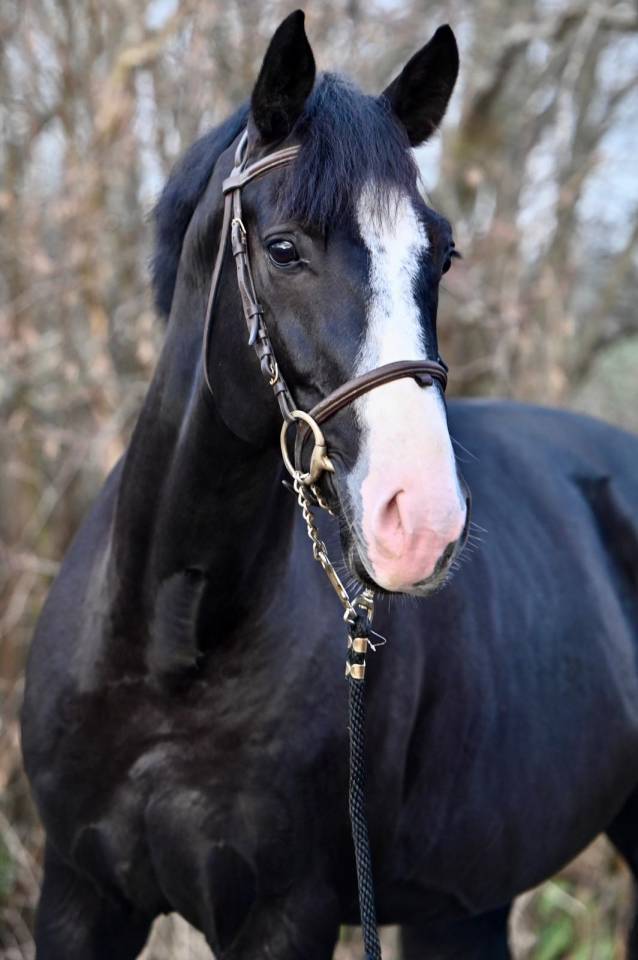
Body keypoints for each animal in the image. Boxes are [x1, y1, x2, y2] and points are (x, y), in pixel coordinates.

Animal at [22, 11, 638, 959]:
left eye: (442, 256)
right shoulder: (80, 899)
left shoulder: (287, 916)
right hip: (465, 902)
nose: (421, 521)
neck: (170, 648)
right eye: (284, 250)